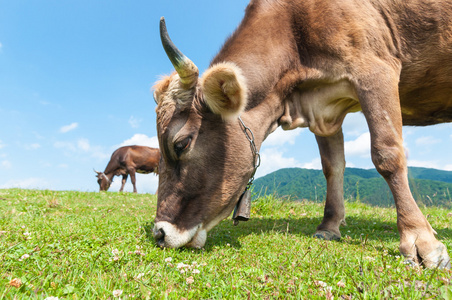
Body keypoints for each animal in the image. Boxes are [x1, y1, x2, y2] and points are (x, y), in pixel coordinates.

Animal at [153, 0, 452, 268]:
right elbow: (332, 166)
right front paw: (329, 226)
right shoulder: (324, 110)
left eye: (181, 144)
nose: (159, 233)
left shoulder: (375, 70)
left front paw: (420, 240)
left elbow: (387, 155)